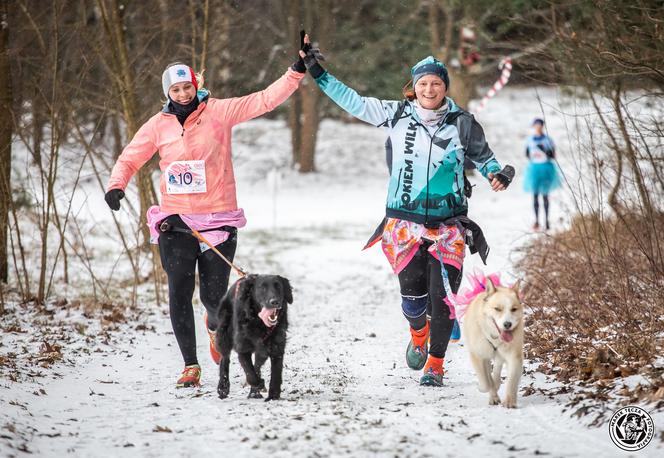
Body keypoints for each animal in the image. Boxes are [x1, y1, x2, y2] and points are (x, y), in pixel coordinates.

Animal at [462, 278, 524, 406]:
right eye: (497, 309)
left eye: (513, 309)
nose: (507, 324)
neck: (495, 338)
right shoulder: (477, 356)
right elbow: (486, 382)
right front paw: (485, 388)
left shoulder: (514, 357)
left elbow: (512, 380)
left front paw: (509, 401)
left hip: (499, 354)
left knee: (497, 367)